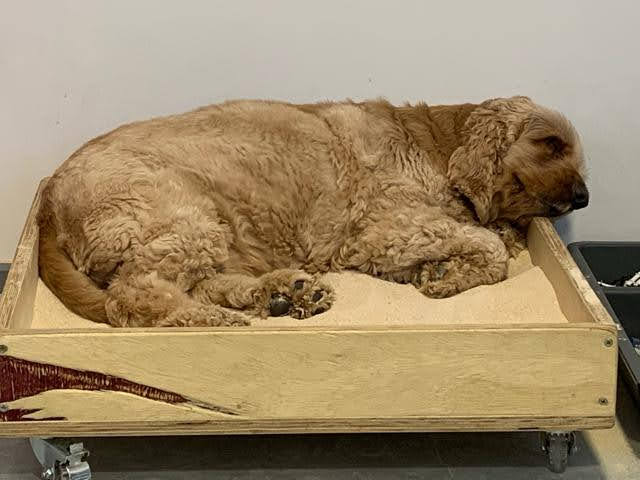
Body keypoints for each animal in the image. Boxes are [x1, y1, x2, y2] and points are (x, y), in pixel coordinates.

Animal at [38, 94, 592, 326]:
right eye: (550, 143)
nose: (585, 197)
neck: (437, 144)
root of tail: (49, 199)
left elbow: (489, 239)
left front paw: (440, 269)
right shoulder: (384, 229)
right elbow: (490, 247)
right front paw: (449, 276)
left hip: (211, 232)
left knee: (199, 283)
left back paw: (284, 293)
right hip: (183, 217)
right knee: (132, 297)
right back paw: (210, 320)